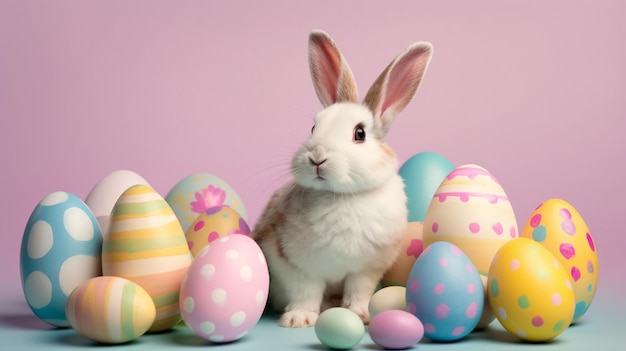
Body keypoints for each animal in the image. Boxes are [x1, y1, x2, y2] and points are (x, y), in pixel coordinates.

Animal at [251, 28, 432, 328]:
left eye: (360, 133)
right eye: (314, 127)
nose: (317, 158)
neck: (343, 196)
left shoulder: (366, 270)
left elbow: (358, 291)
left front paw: (359, 314)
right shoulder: (298, 265)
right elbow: (305, 293)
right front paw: (299, 319)